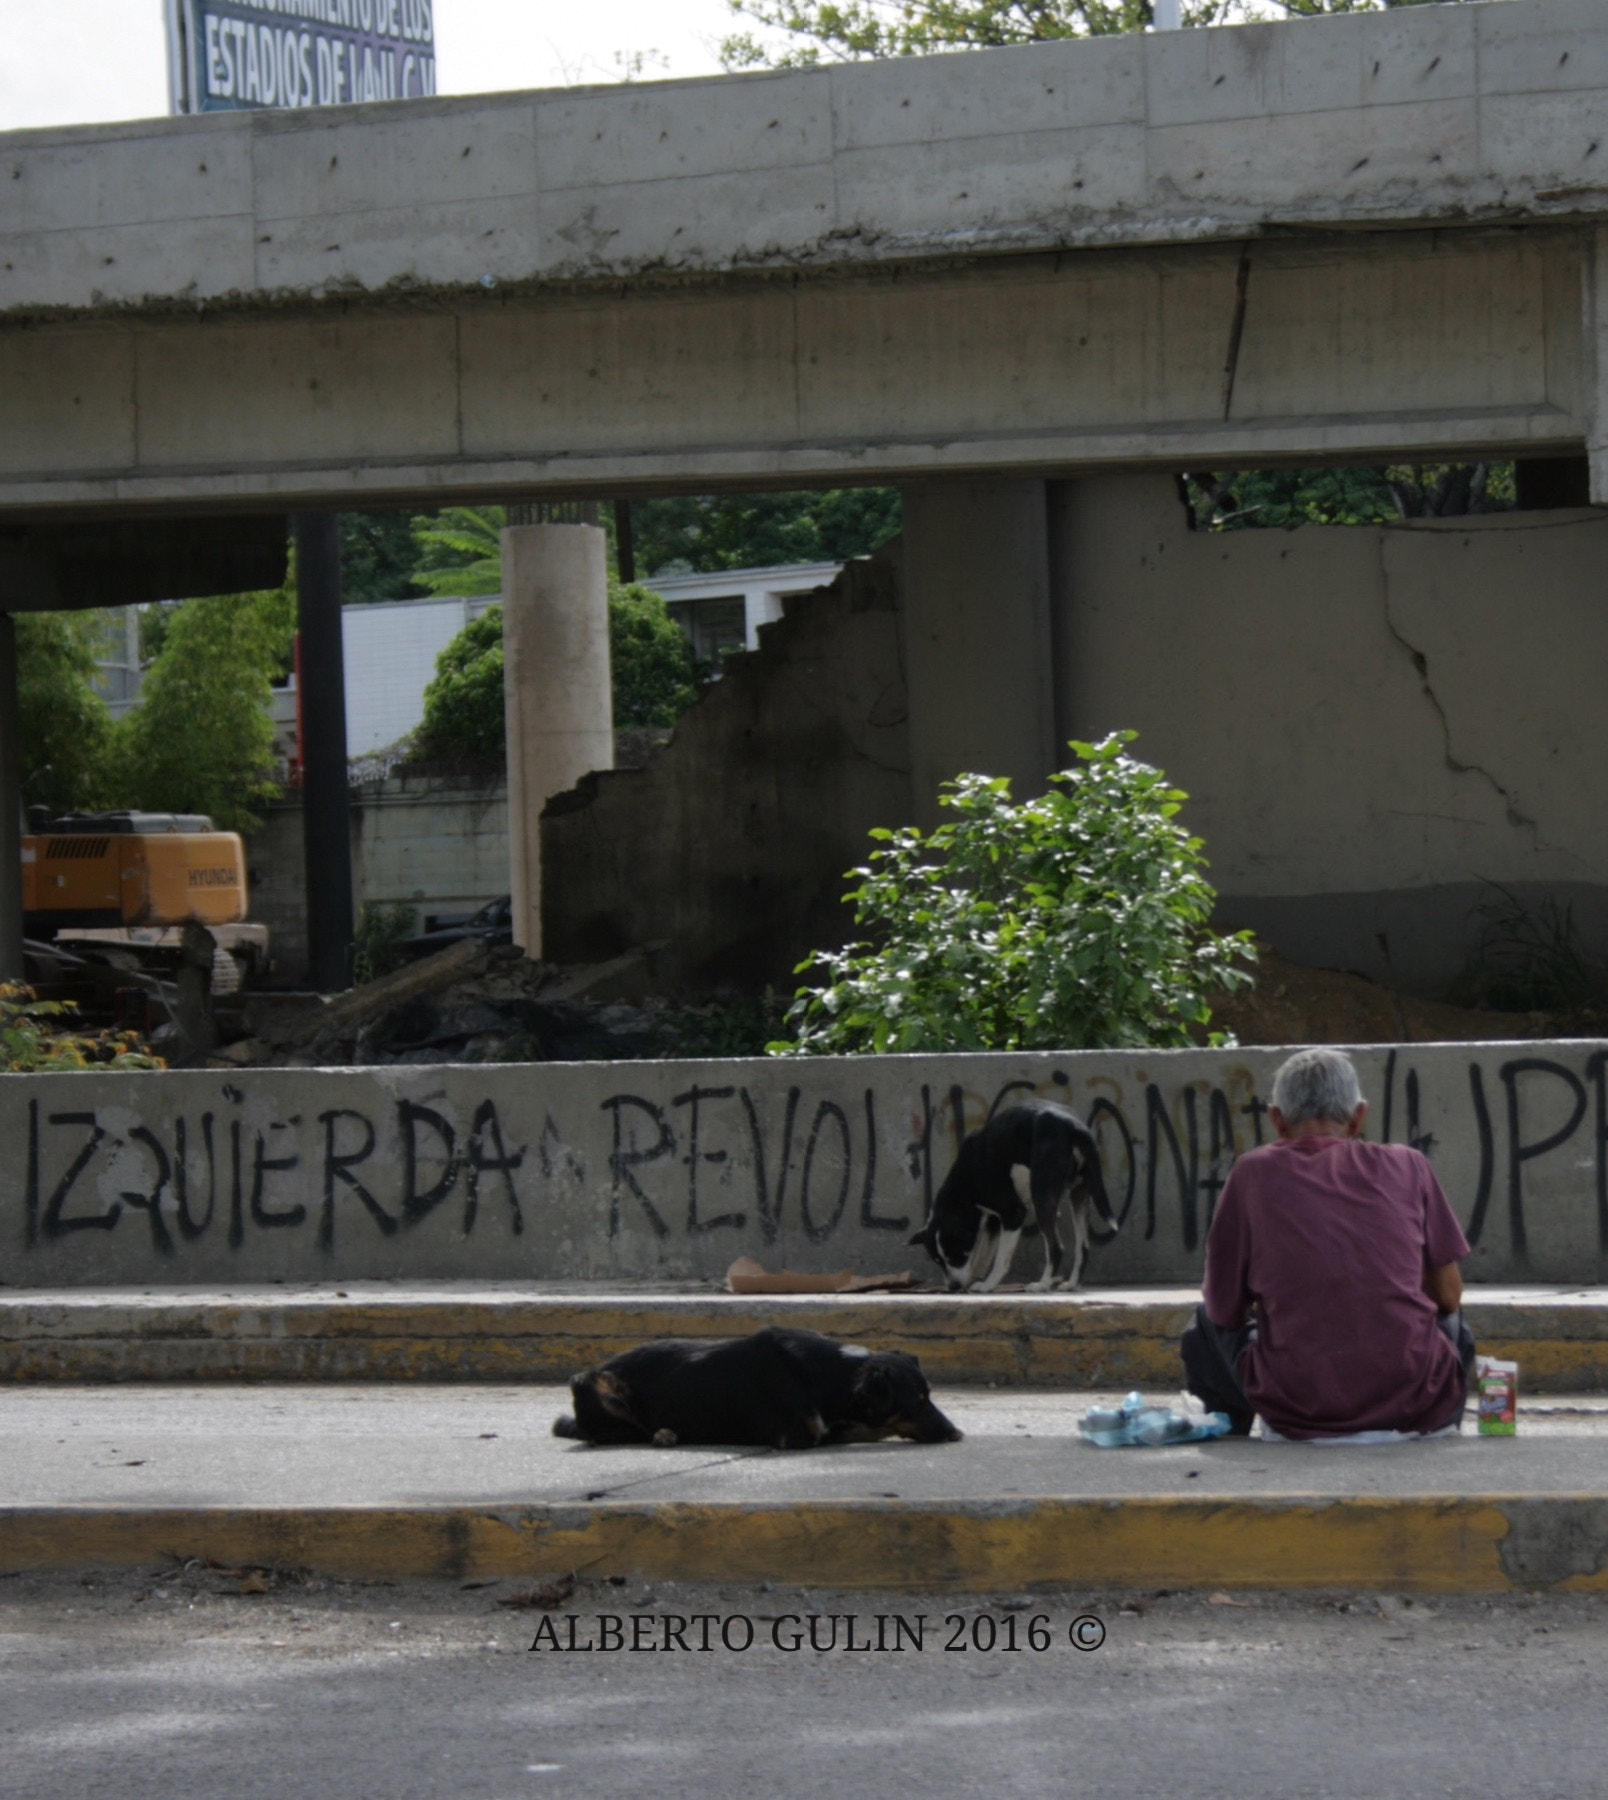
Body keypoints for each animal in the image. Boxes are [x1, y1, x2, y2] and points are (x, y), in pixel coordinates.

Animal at [903, 1094, 1116, 1296]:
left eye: (956, 1254)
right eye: (938, 1261)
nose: (953, 1287)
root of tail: (1074, 1126)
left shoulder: (1013, 1214)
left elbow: (999, 1259)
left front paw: (987, 1285)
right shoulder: (992, 1221)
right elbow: (983, 1256)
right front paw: (974, 1282)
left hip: (1042, 1198)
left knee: (1056, 1248)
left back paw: (1042, 1285)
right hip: (1080, 1194)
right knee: (1083, 1247)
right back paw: (1072, 1284)